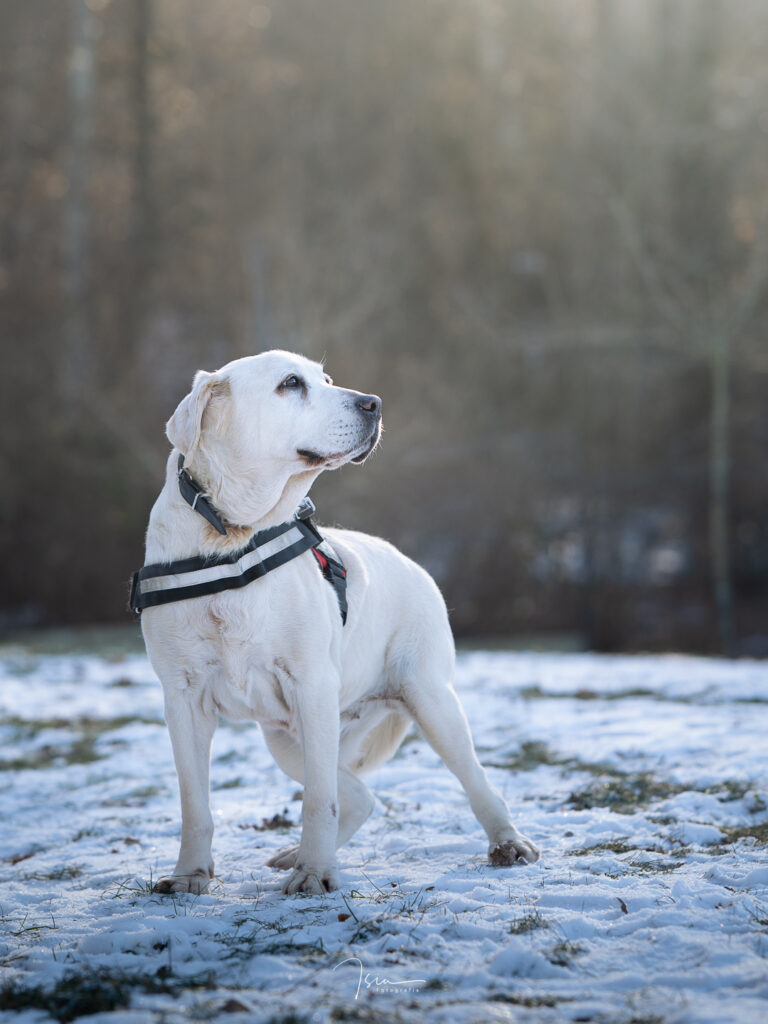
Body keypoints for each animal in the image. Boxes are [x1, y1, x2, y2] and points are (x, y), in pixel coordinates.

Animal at [137, 350, 539, 895]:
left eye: (325, 378)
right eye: (291, 383)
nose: (374, 403)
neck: (233, 536)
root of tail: (411, 562)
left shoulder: (310, 683)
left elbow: (316, 802)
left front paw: (314, 874)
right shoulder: (183, 697)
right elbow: (194, 804)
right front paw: (189, 877)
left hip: (428, 699)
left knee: (473, 780)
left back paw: (508, 843)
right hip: (288, 737)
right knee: (359, 796)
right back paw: (295, 853)